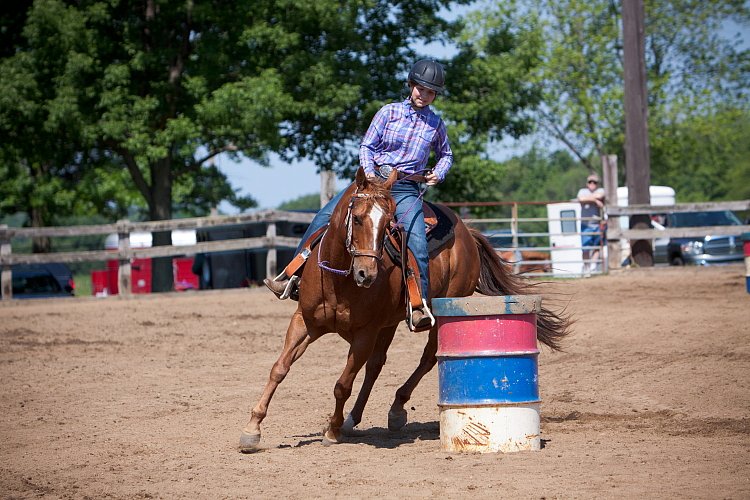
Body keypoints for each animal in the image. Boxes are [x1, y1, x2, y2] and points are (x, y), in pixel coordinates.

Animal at [239, 169, 568, 454]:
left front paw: (331, 430)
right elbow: (279, 368)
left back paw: (395, 410)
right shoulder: (305, 322)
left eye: (388, 224)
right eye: (357, 218)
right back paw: (354, 419)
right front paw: (252, 430)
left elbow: (342, 384)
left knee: (426, 358)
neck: (338, 279)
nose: (366, 274)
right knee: (376, 366)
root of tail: (467, 232)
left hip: (443, 309)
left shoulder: (364, 333)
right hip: (387, 324)